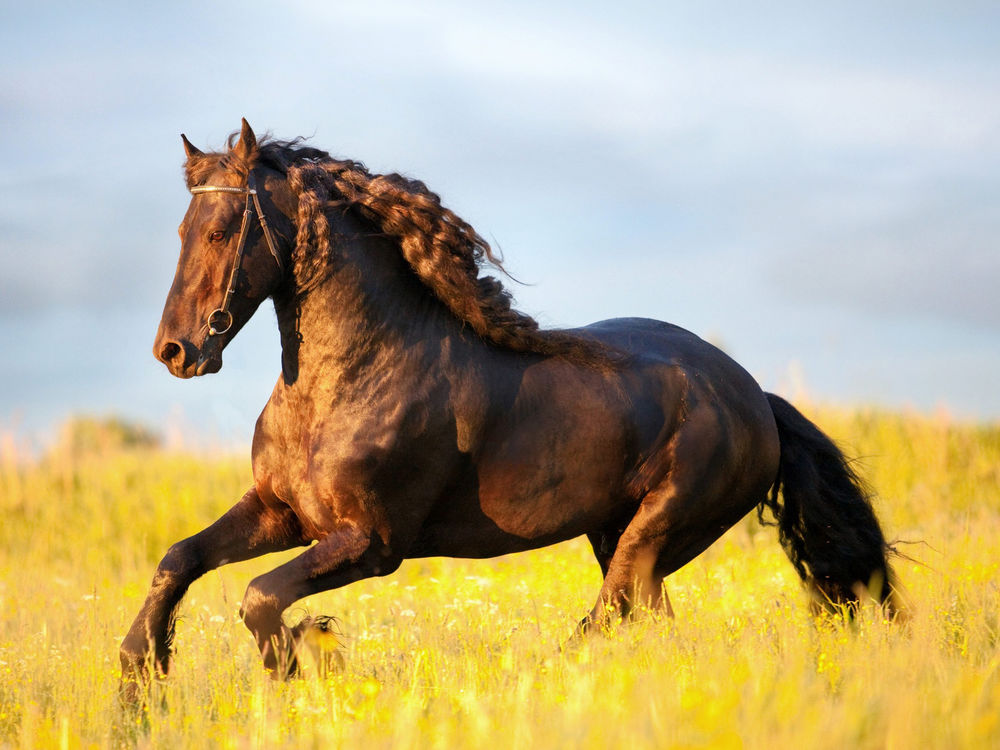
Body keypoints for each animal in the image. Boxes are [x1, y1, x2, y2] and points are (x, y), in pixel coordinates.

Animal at [119, 119, 896, 701]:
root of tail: (754, 397)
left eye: (221, 230)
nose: (175, 351)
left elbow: (258, 596)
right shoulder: (281, 512)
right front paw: (139, 678)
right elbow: (179, 560)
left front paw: (306, 662)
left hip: (656, 532)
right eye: (183, 231)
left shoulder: (372, 542)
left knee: (608, 616)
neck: (347, 381)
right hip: (619, 535)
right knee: (648, 623)